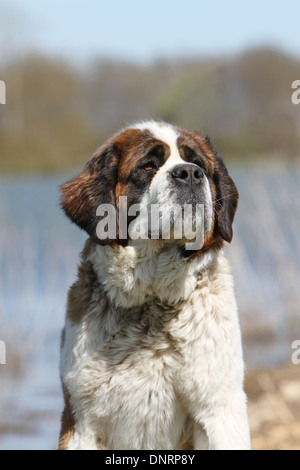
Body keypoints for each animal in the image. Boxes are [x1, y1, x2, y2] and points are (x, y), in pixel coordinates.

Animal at [58, 119, 251, 450]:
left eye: (199, 164)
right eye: (147, 166)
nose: (189, 173)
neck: (152, 302)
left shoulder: (219, 410)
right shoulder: (81, 422)